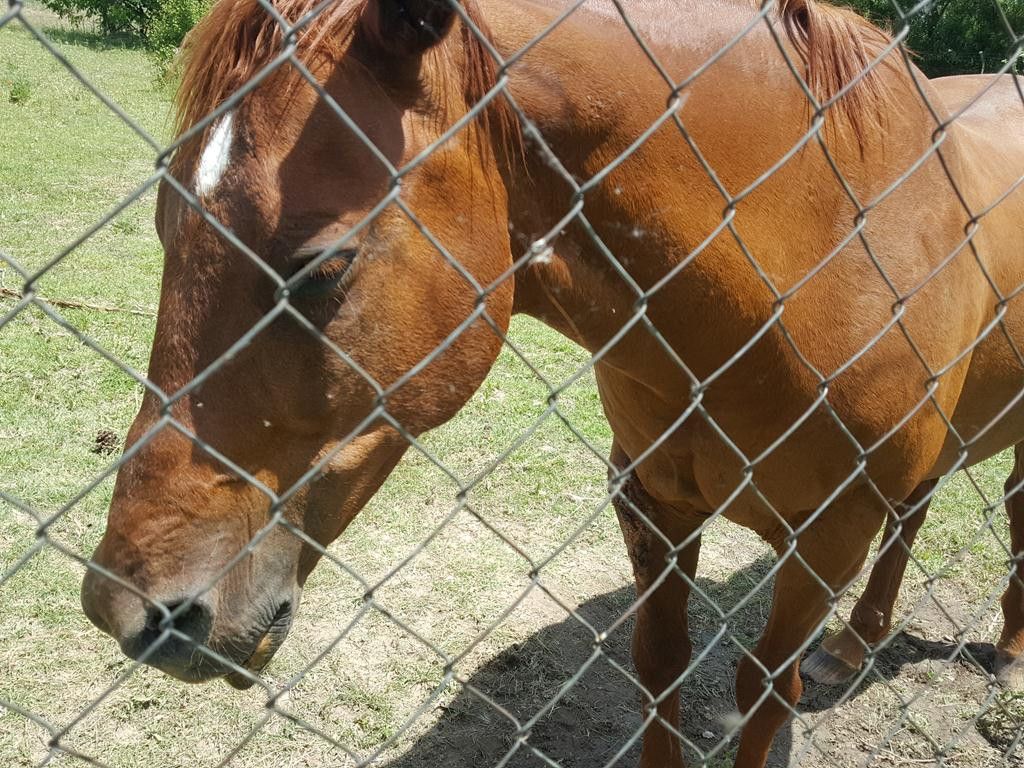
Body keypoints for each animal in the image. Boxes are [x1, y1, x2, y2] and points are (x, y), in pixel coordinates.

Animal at [81, 1, 1024, 768]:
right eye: (162, 221)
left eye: (320, 269)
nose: (128, 611)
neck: (813, 254)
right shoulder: (650, 498)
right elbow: (659, 661)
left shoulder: (828, 535)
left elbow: (763, 690)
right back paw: (857, 646)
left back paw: (1007, 651)